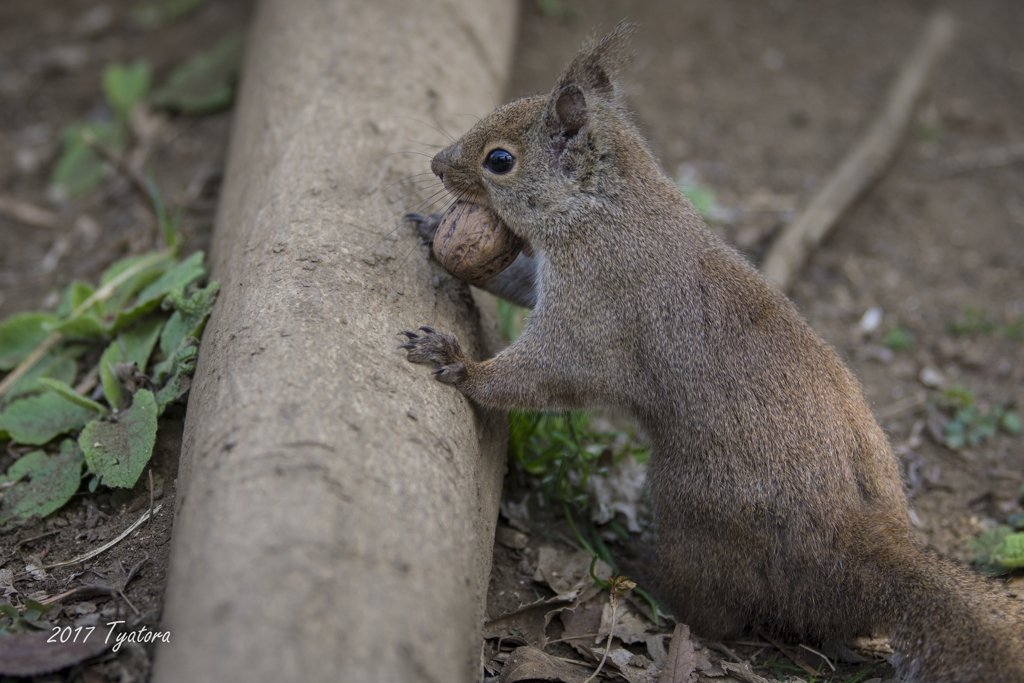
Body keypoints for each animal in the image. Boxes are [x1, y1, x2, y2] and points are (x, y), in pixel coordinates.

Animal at [395, 24, 1024, 679]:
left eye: (499, 161)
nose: (436, 165)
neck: (605, 209)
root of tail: (854, 544)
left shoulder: (599, 301)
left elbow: (551, 370)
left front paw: (458, 363)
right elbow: (518, 282)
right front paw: (431, 233)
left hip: (692, 508)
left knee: (715, 612)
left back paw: (643, 570)